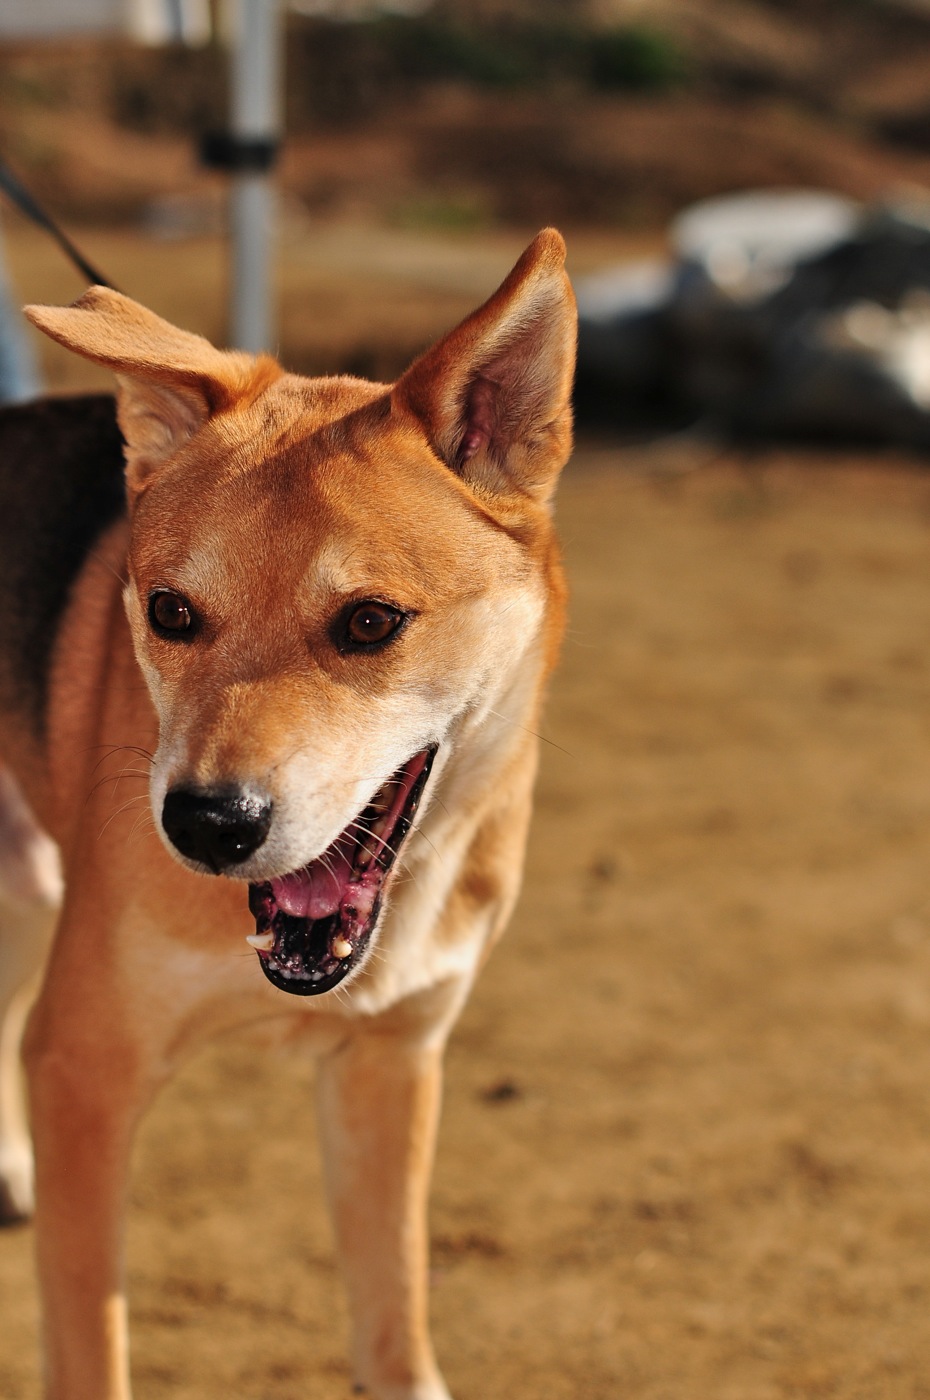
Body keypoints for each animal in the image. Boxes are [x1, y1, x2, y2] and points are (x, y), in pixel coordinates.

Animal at [0, 232, 574, 1400]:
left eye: (370, 621)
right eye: (171, 611)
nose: (208, 824)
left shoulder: (390, 1063)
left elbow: (394, 1327)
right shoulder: (84, 1070)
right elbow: (91, 1349)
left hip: (28, 880)